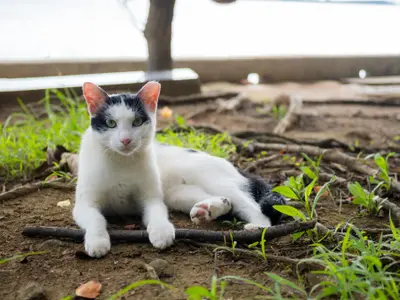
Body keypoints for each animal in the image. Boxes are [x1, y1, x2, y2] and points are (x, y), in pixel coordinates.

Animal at [72, 80, 284, 258]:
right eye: (111, 123)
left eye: (137, 122)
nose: (125, 140)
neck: (121, 161)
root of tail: (233, 166)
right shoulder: (84, 204)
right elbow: (96, 219)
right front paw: (97, 241)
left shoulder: (152, 199)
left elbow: (157, 213)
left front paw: (161, 231)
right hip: (179, 194)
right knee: (228, 202)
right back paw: (208, 209)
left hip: (214, 180)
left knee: (251, 206)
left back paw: (257, 226)